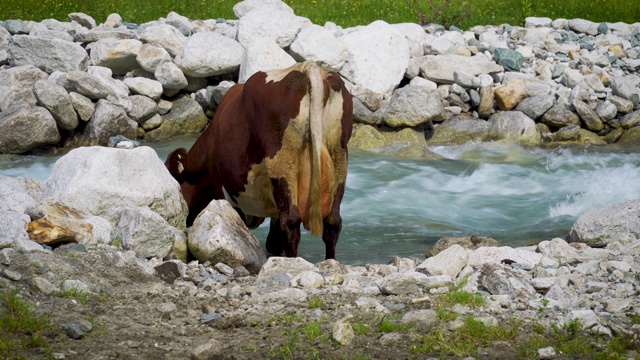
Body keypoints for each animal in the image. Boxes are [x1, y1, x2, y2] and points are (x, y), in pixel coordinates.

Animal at [165, 61, 352, 258]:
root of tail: (306, 68)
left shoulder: (222, 189)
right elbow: (274, 241)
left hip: (282, 166)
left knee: (291, 222)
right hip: (339, 160)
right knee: (332, 223)